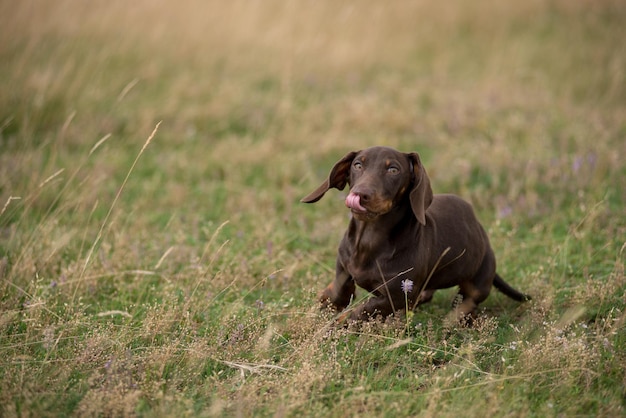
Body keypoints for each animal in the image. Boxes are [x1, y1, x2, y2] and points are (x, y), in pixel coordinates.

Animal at [300, 145, 528, 322]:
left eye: (393, 169)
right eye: (357, 165)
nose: (360, 194)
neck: (369, 239)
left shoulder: (396, 296)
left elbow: (360, 311)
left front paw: (334, 325)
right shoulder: (343, 268)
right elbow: (338, 291)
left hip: (478, 279)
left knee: (468, 300)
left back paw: (453, 320)